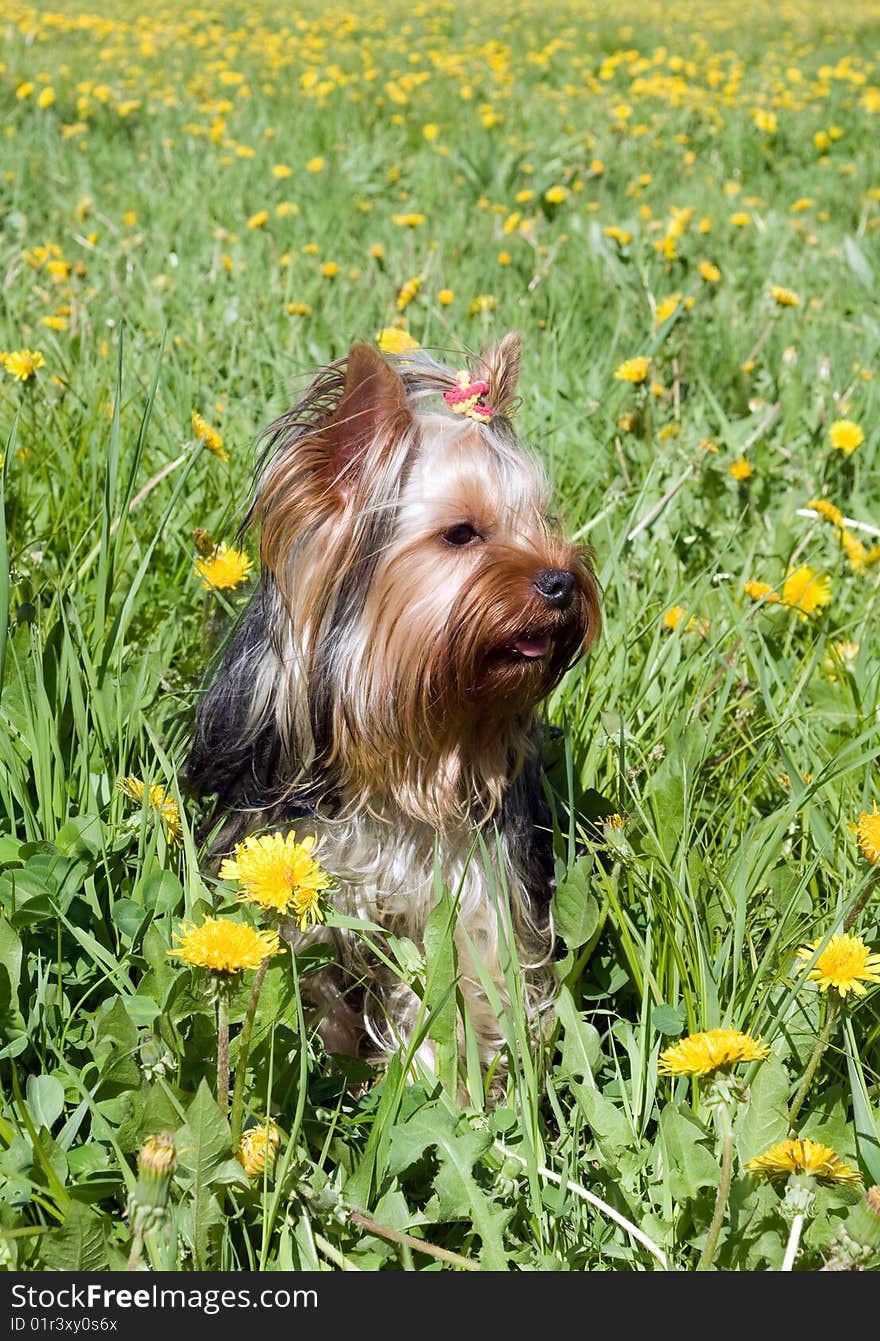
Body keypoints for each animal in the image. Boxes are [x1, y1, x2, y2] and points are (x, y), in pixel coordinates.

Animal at [182, 335, 600, 1088]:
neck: (397, 749)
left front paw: (441, 1087)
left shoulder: (467, 888)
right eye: (461, 534)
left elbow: (457, 985)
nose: (560, 580)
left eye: (543, 523)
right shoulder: (286, 856)